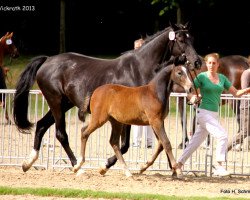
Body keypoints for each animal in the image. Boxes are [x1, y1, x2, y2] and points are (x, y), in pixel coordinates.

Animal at [13, 21, 201, 172]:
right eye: (181, 39)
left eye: (192, 38)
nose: (197, 61)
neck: (138, 69)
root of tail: (47, 60)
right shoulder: (131, 115)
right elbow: (125, 145)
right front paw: (106, 164)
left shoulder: (151, 117)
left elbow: (161, 142)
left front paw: (172, 168)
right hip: (56, 102)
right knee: (61, 134)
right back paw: (77, 166)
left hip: (63, 104)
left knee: (41, 125)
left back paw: (28, 163)